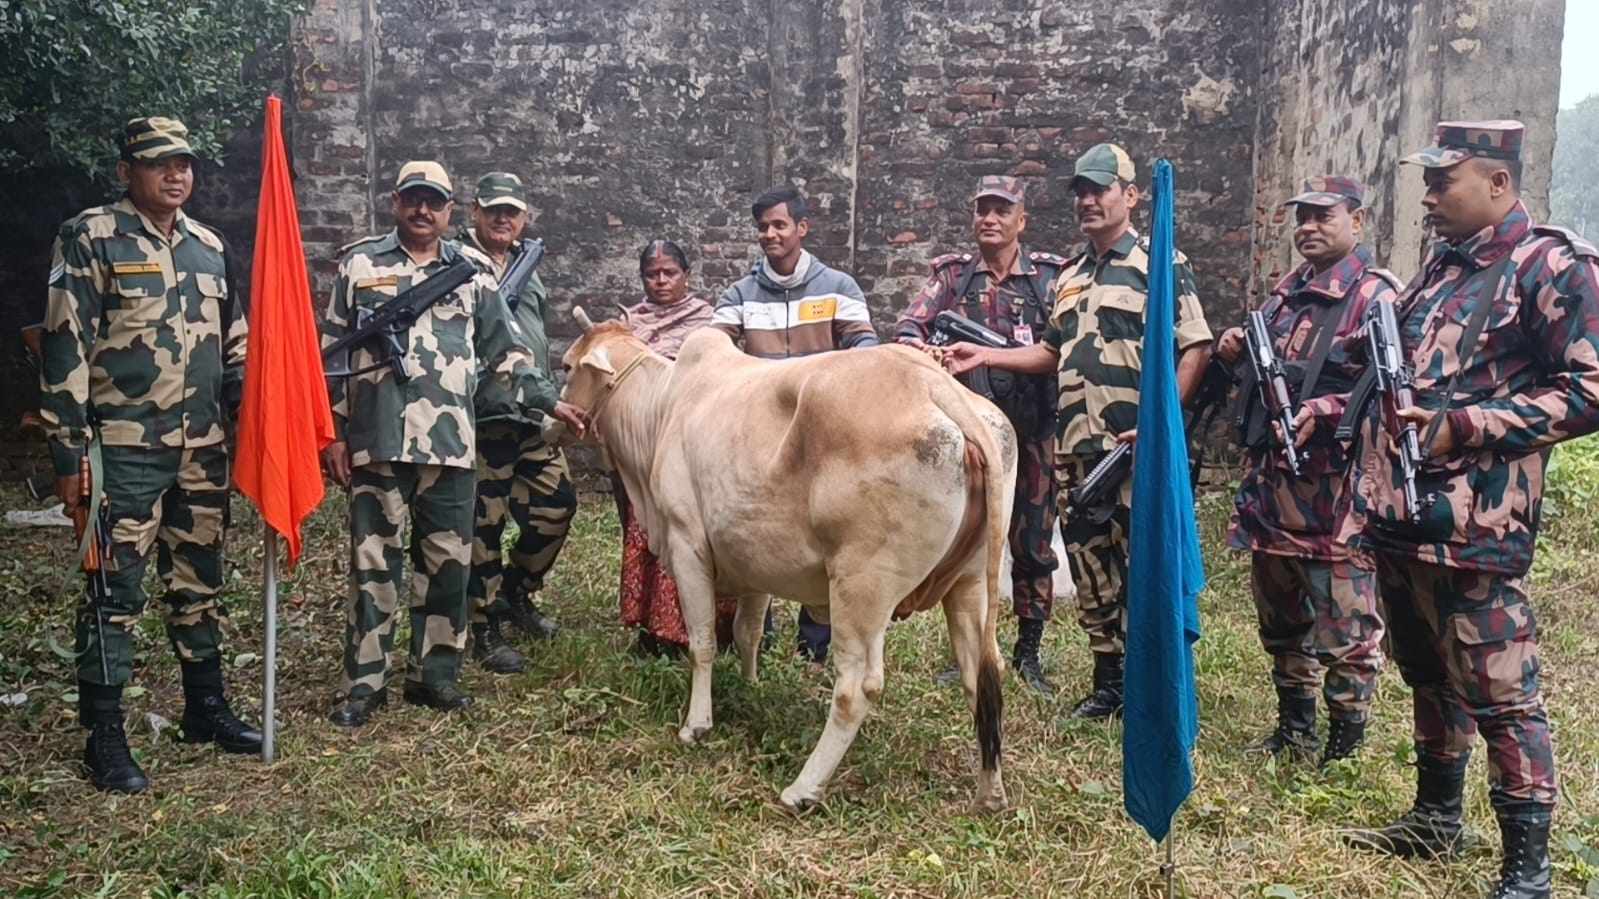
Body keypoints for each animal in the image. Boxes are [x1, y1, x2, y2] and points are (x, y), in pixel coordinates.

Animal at [559, 310, 1010, 812]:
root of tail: (937, 386)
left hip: (861, 587)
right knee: (982, 676)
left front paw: (697, 724)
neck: (663, 406)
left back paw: (803, 788)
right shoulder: (753, 563)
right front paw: (751, 686)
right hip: (969, 584)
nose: (556, 417)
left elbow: (703, 643)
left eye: (567, 366)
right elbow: (748, 633)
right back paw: (990, 792)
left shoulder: (687, 545)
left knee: (857, 688)